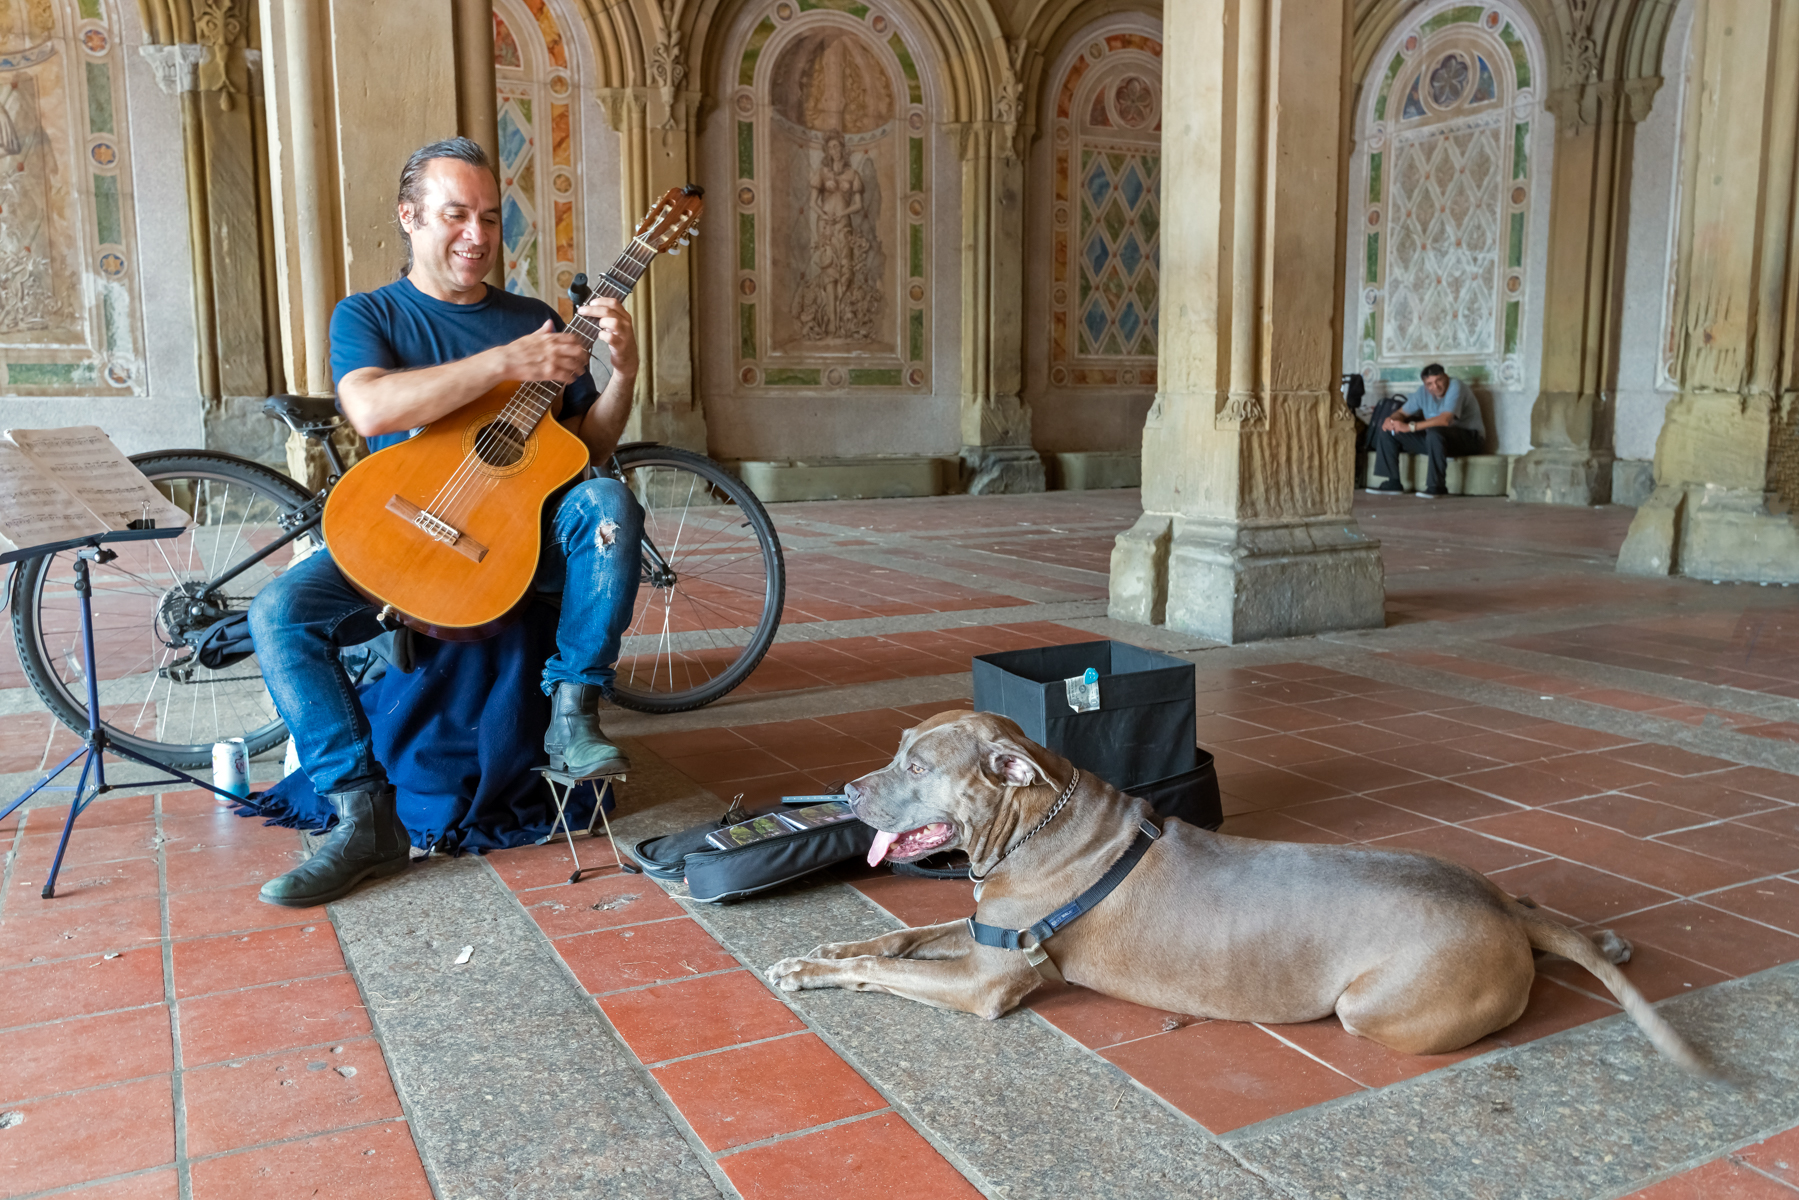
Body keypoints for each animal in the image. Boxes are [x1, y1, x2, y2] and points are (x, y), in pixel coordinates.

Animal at [762, 708, 1712, 1072]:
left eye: (918, 766)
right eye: (897, 751)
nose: (846, 791)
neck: (1033, 821)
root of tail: (1491, 917)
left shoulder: (994, 978)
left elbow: (893, 969)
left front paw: (814, 973)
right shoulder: (986, 933)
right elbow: (894, 940)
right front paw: (821, 950)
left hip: (1371, 1007)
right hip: (1470, 875)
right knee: (1532, 903)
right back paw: (1600, 937)